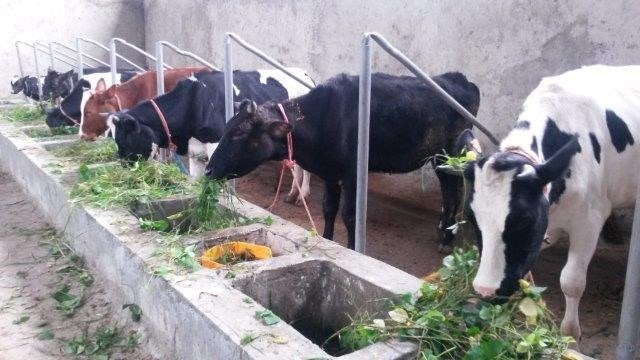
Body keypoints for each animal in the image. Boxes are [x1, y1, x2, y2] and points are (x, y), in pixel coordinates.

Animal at [109, 68, 316, 202]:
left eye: (125, 141)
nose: (125, 172)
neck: (195, 103)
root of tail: (304, 73)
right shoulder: (195, 153)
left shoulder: (216, 147)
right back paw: (293, 193)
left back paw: (302, 194)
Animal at [205, 72, 480, 252]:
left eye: (239, 132)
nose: (208, 170)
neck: (320, 118)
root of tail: (460, 79)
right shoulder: (329, 172)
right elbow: (328, 209)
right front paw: (328, 239)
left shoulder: (352, 173)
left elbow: (349, 215)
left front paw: (351, 247)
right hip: (438, 157)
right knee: (448, 191)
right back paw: (443, 231)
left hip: (449, 152)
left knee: (454, 191)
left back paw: (447, 239)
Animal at [462, 63, 636, 342]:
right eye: (471, 218)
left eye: (523, 221)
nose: (485, 290)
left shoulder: (589, 219)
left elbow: (571, 281)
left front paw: (569, 335)